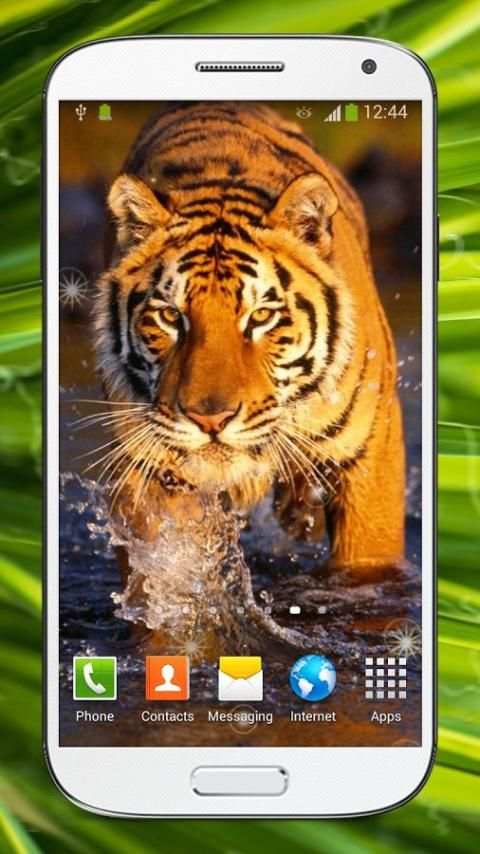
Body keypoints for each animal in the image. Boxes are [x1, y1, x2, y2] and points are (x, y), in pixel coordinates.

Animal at [94, 102, 405, 576]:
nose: (210, 421)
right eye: (170, 316)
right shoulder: (145, 466)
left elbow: (366, 560)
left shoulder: (370, 452)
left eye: (260, 316)